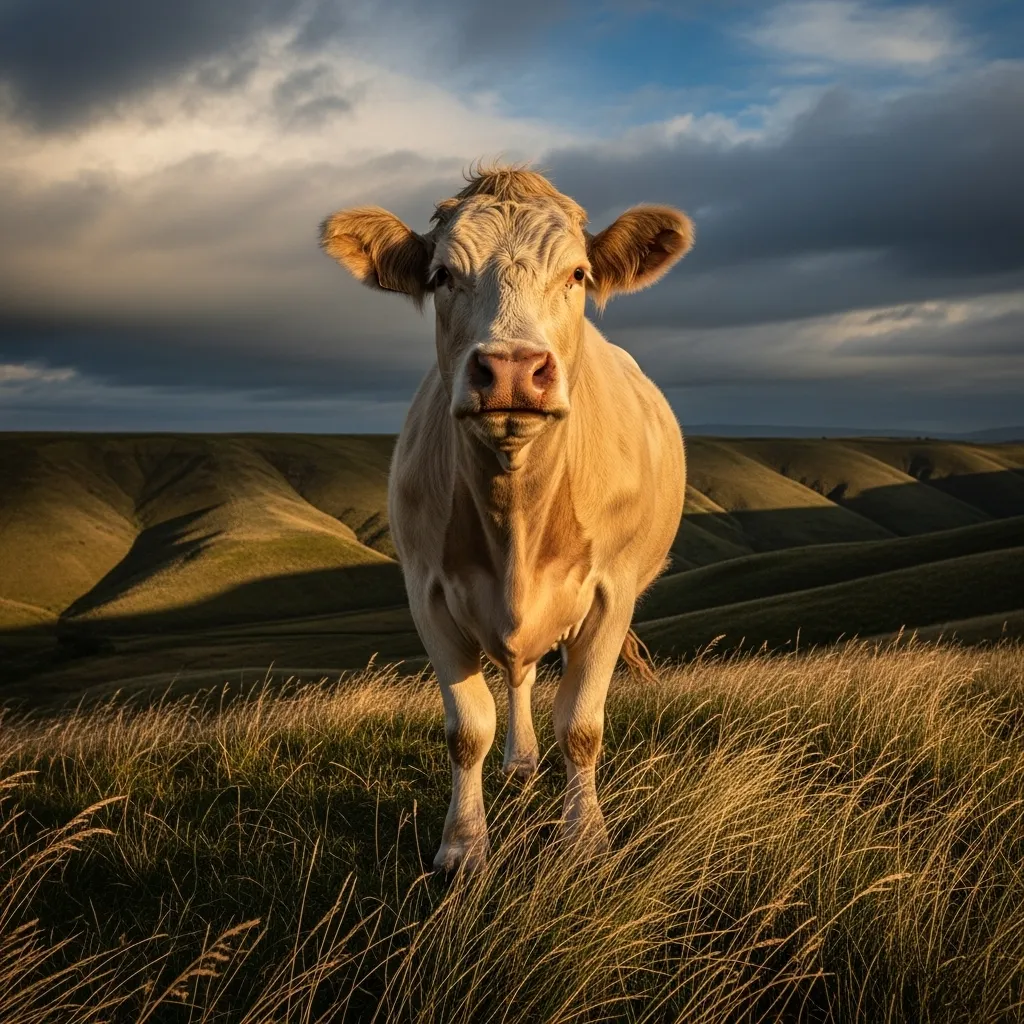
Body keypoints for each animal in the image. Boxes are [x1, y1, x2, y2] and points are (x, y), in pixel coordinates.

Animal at [320, 166, 692, 871]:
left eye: (578, 274)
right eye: (441, 275)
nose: (514, 369)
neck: (516, 520)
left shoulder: (612, 593)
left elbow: (580, 725)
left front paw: (585, 837)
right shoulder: (427, 593)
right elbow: (468, 729)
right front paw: (464, 848)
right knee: (516, 680)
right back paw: (519, 763)